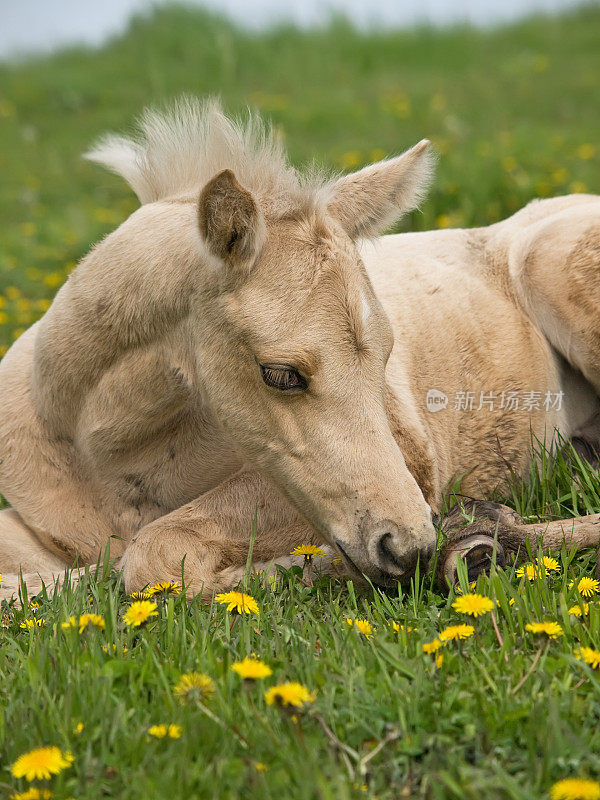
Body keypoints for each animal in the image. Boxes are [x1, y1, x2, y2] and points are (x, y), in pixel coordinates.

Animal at [0, 100, 596, 600]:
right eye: (281, 374)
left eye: (385, 356)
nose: (408, 548)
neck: (108, 460)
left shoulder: (408, 463)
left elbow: (153, 557)